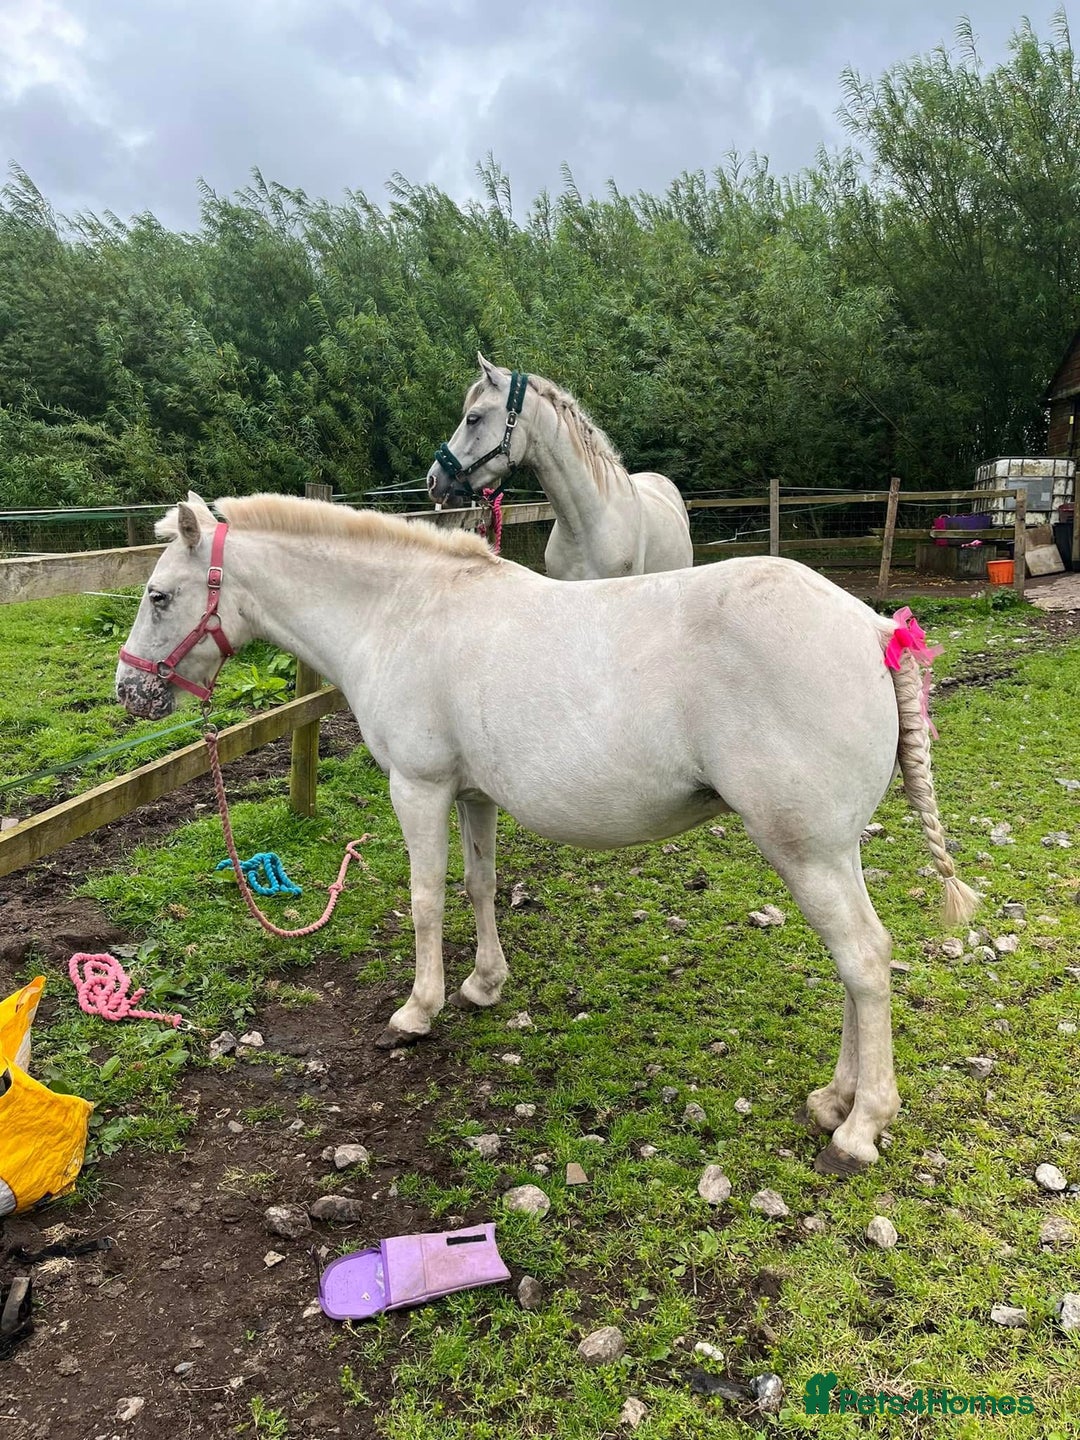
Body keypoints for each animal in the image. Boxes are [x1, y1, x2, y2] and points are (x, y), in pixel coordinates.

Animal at [116, 492, 978, 1176]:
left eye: (158, 596)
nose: (129, 692)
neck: (402, 614)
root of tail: (873, 627)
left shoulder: (417, 788)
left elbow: (425, 899)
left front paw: (419, 1010)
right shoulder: (473, 796)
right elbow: (479, 885)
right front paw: (483, 985)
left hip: (805, 852)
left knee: (863, 960)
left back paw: (860, 1129)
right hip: (834, 850)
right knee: (858, 964)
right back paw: (836, 1099)